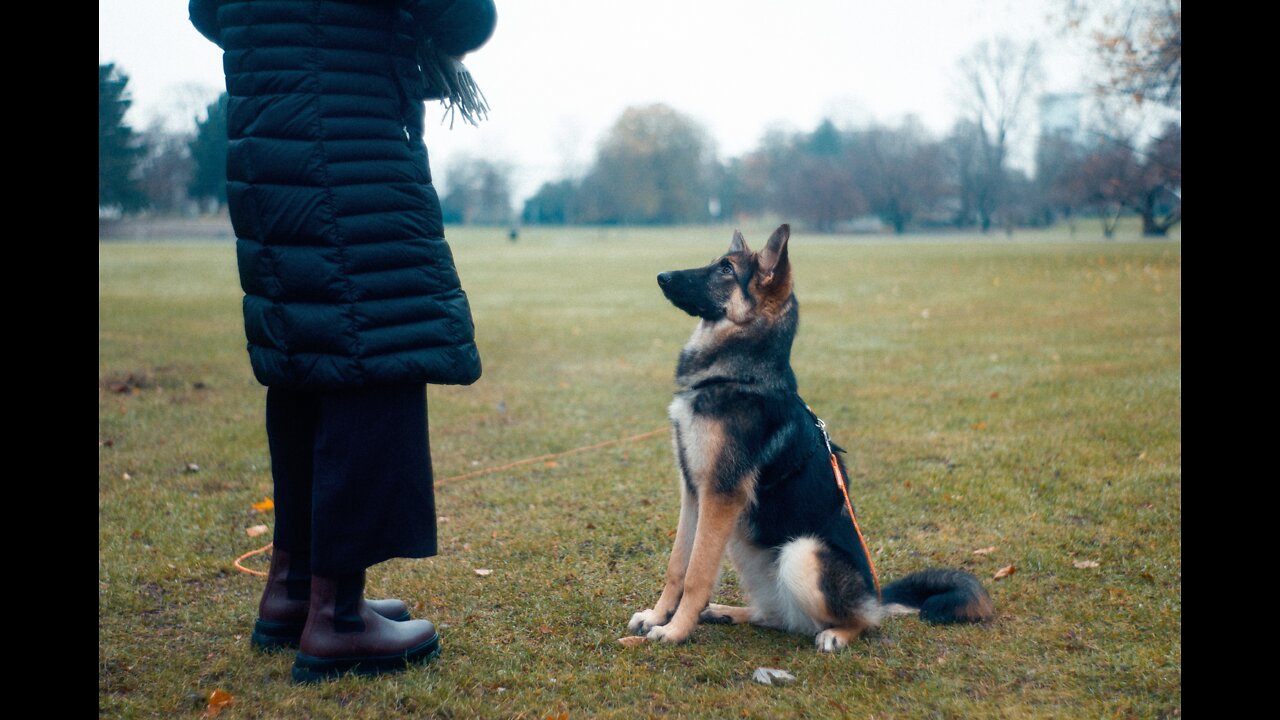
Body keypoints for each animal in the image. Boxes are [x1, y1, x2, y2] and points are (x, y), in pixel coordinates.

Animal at [629, 225, 988, 650]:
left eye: (726, 269)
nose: (661, 277)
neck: (738, 376)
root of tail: (875, 595)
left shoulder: (720, 495)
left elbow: (697, 574)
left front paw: (674, 631)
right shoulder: (694, 492)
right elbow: (678, 566)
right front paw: (658, 616)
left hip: (801, 552)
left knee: (862, 621)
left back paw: (837, 634)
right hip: (744, 543)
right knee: (777, 616)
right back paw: (726, 612)